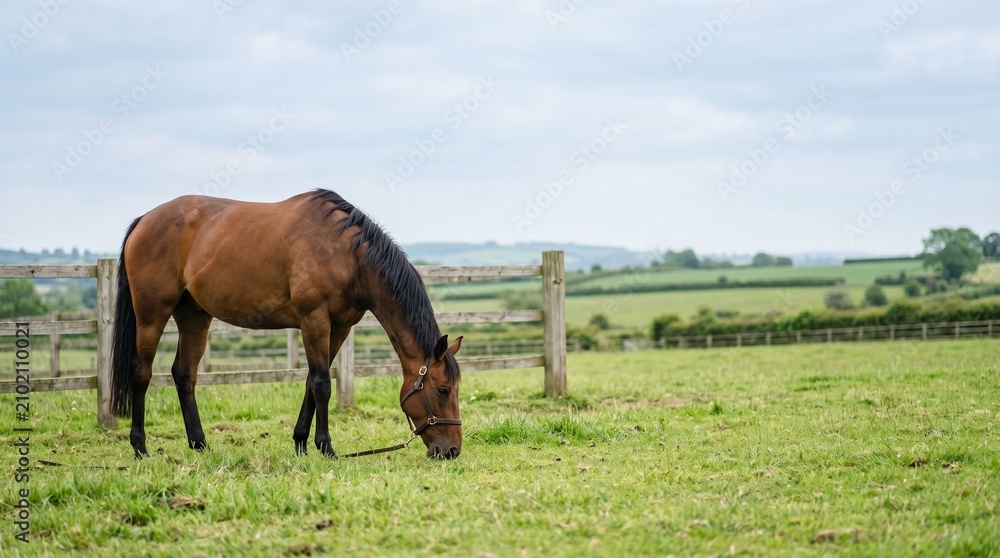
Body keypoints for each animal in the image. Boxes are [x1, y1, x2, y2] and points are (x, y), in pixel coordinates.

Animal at [110, 189, 463, 460]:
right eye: (443, 389)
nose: (452, 451)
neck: (347, 256)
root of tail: (145, 219)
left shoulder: (340, 327)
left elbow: (311, 382)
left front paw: (301, 444)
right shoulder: (314, 319)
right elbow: (322, 384)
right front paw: (326, 447)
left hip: (194, 315)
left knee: (184, 374)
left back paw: (199, 444)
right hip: (152, 314)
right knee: (141, 372)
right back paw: (140, 447)